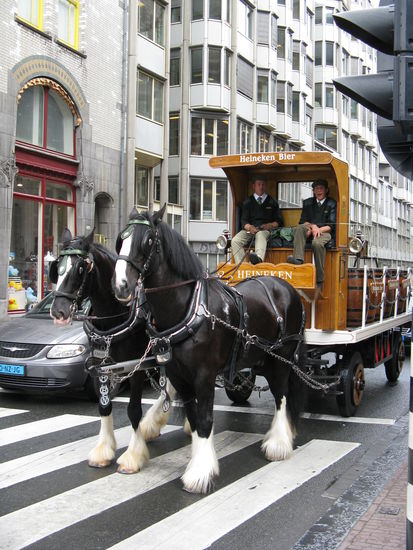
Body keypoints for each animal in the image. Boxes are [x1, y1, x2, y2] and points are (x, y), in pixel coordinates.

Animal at [49, 228, 179, 473]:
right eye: (56, 267)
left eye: (80, 269)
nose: (58, 312)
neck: (115, 314)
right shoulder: (101, 367)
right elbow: (104, 406)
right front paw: (103, 450)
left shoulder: (136, 367)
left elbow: (134, 410)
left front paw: (133, 456)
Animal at [112, 206, 307, 493]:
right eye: (120, 240)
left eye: (147, 240)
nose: (121, 285)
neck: (188, 309)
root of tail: (285, 286)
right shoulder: (179, 376)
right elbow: (194, 419)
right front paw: (197, 462)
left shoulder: (204, 375)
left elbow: (205, 420)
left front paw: (200, 474)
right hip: (263, 358)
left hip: (282, 358)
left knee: (281, 395)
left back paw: (278, 444)